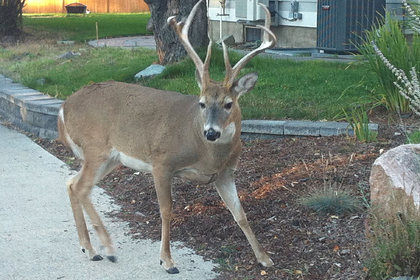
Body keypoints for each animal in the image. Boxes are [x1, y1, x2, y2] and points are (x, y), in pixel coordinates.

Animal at [57, 0, 278, 274]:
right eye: (202, 103)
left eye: (228, 104)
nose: (211, 132)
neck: (204, 151)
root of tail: (63, 108)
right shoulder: (162, 162)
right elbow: (166, 210)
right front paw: (167, 260)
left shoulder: (225, 173)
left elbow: (240, 214)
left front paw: (265, 258)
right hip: (95, 147)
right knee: (81, 187)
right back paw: (106, 249)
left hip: (109, 158)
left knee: (72, 184)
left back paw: (90, 249)